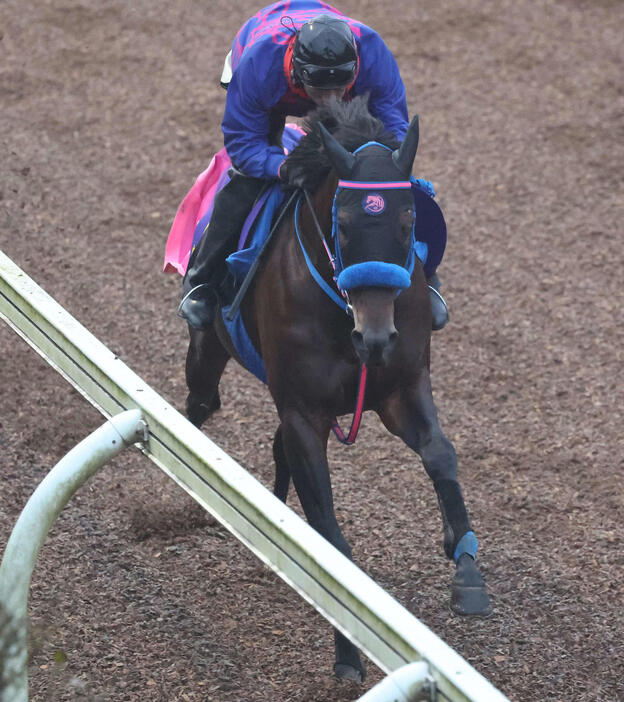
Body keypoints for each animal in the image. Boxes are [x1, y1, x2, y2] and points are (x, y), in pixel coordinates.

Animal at [183, 96, 490, 684]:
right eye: (343, 225)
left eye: (409, 220)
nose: (374, 336)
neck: (342, 315)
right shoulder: (305, 413)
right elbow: (329, 532)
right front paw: (349, 649)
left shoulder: (400, 388)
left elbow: (441, 454)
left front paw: (467, 570)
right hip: (209, 347)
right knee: (199, 404)